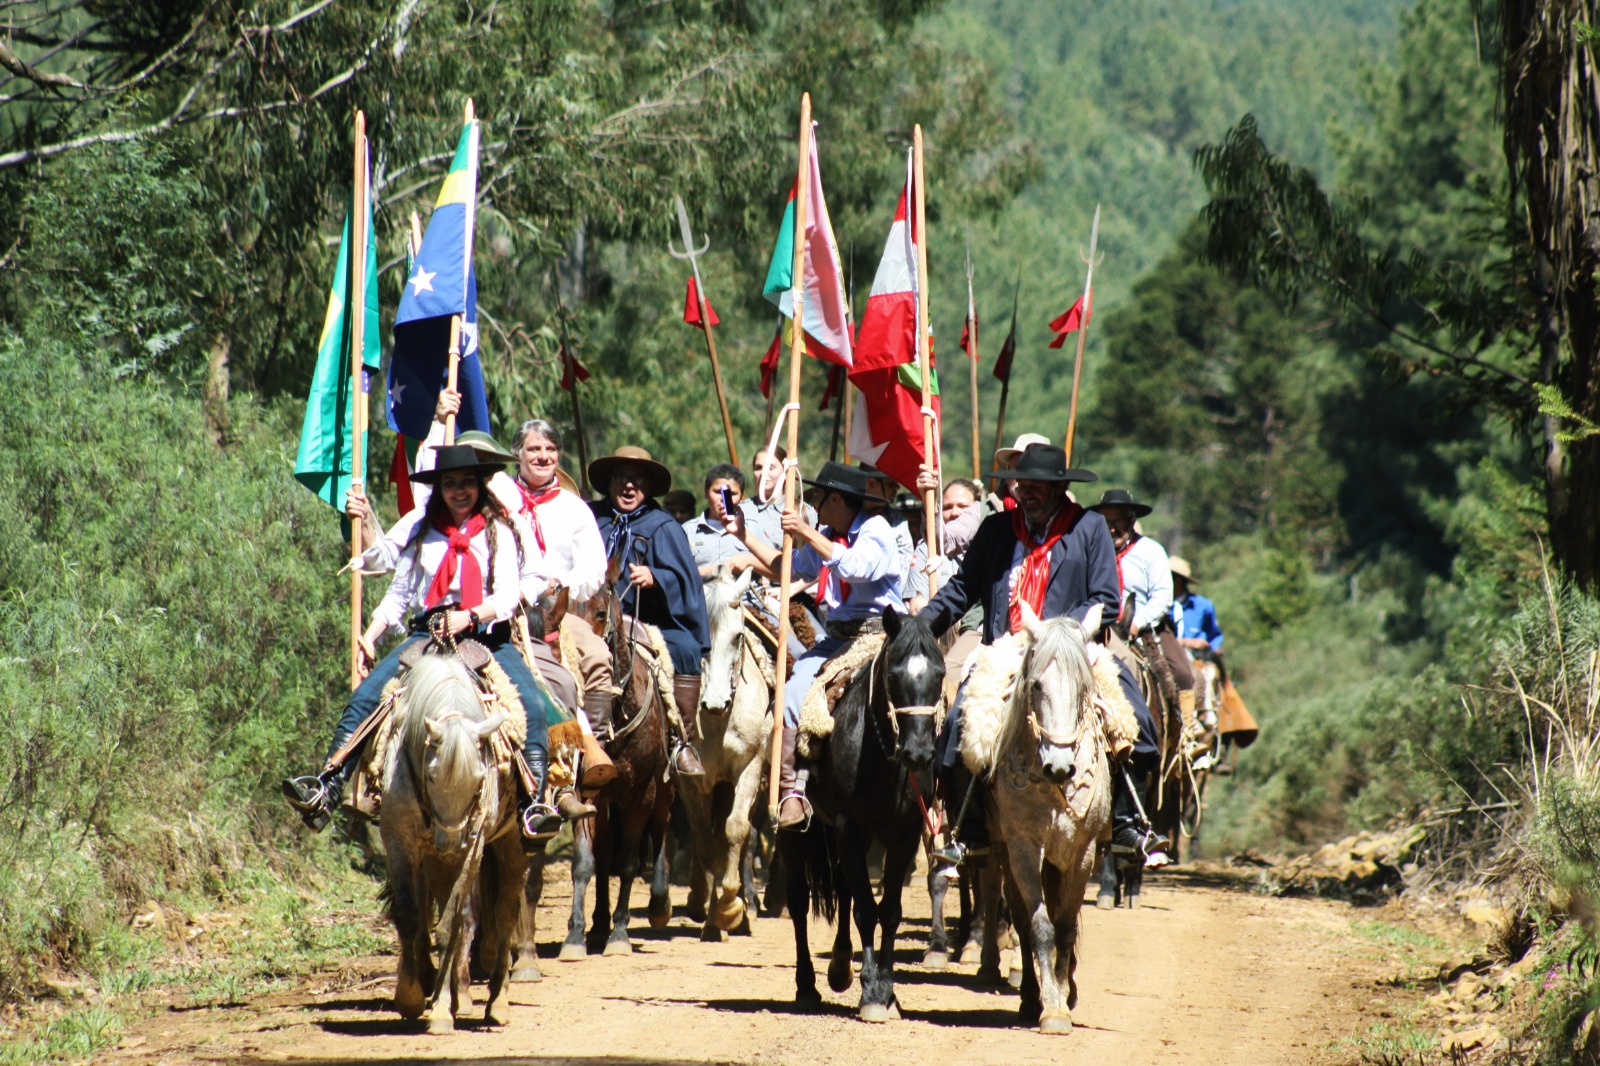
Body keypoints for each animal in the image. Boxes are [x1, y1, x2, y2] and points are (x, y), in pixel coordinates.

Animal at [377, 646, 521, 1030]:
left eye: (479, 779)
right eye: (430, 776)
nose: (451, 841)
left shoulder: (473, 848)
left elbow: (450, 925)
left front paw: (441, 1010)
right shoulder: (400, 843)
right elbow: (410, 917)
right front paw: (410, 996)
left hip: (511, 843)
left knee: (505, 912)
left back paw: (497, 1003)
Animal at [560, 589, 672, 953]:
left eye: (598, 613)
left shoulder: (642, 792)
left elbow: (629, 863)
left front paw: (620, 933)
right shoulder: (586, 792)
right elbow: (586, 862)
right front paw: (575, 935)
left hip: (664, 790)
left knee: (661, 827)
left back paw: (659, 903)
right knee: (605, 850)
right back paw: (597, 924)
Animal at [780, 601, 940, 1017]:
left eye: (939, 674)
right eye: (894, 674)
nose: (919, 753)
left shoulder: (903, 834)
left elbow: (889, 910)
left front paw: (887, 989)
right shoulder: (848, 825)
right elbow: (866, 908)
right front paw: (871, 993)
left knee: (843, 887)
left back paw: (839, 966)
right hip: (798, 835)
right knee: (799, 900)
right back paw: (807, 984)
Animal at [985, 601, 1113, 1030]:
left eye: (1083, 688)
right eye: (1037, 685)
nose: (1059, 767)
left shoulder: (1082, 852)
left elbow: (1066, 925)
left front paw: (1063, 996)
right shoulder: (1023, 848)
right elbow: (1039, 926)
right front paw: (1051, 1007)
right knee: (1024, 919)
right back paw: (1030, 996)